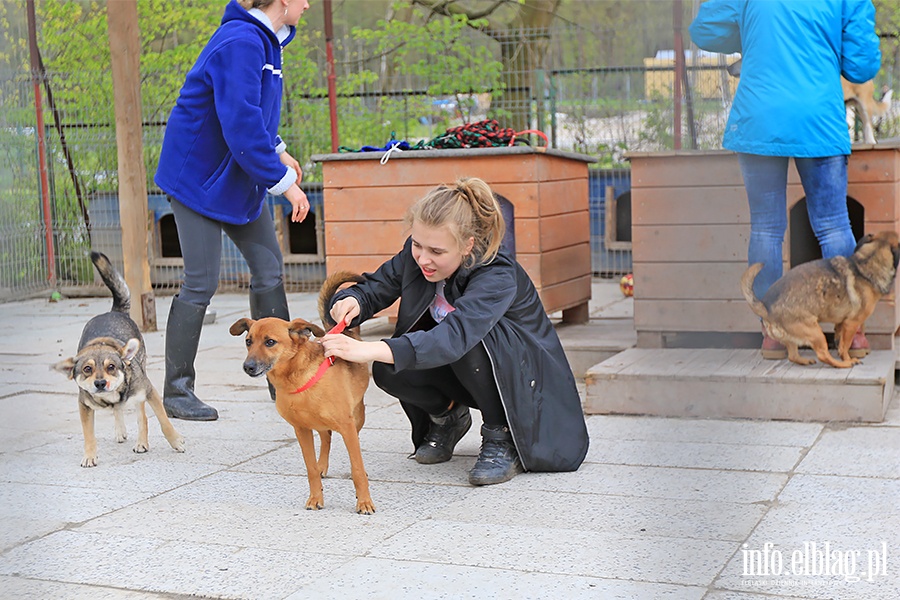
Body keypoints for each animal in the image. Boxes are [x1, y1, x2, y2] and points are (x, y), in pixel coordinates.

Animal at [52, 251, 185, 466]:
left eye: (111, 367)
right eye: (87, 369)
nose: (100, 383)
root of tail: (113, 311)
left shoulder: (150, 392)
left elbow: (164, 421)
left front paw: (175, 441)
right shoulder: (84, 406)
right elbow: (89, 434)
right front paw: (89, 456)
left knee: (142, 416)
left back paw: (142, 442)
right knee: (120, 412)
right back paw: (121, 430)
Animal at [232, 274, 376, 516]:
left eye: (270, 342)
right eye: (248, 341)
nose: (248, 367)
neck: (295, 380)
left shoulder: (347, 426)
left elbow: (356, 467)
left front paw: (364, 502)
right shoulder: (301, 430)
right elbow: (310, 468)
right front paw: (316, 497)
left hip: (358, 418)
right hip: (321, 423)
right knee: (326, 437)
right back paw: (322, 466)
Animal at [740, 232, 896, 368]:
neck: (865, 263)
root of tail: (766, 307)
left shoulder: (842, 323)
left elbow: (839, 339)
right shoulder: (851, 323)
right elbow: (845, 346)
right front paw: (847, 359)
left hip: (794, 339)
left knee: (793, 356)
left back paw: (805, 360)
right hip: (816, 332)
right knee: (823, 355)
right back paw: (842, 364)